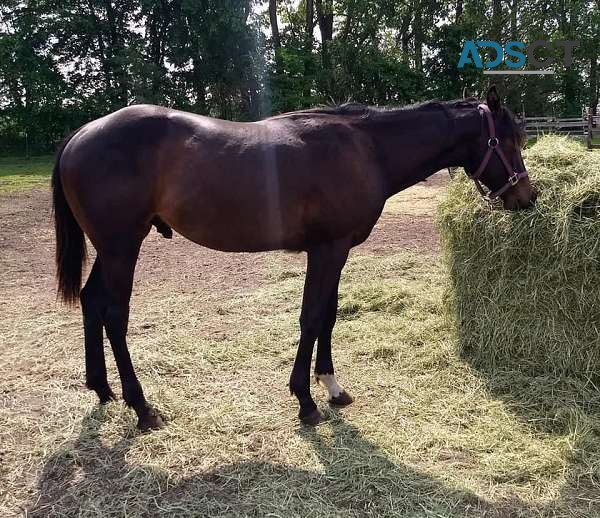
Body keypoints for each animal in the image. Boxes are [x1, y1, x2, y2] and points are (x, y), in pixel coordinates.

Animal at [54, 87, 536, 432]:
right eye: (509, 140)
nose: (527, 198)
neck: (364, 149)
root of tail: (81, 134)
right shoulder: (327, 250)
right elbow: (311, 317)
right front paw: (305, 401)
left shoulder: (337, 251)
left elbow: (329, 315)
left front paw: (332, 387)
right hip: (122, 247)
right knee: (114, 315)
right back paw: (142, 407)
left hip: (110, 250)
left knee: (91, 301)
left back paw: (101, 389)